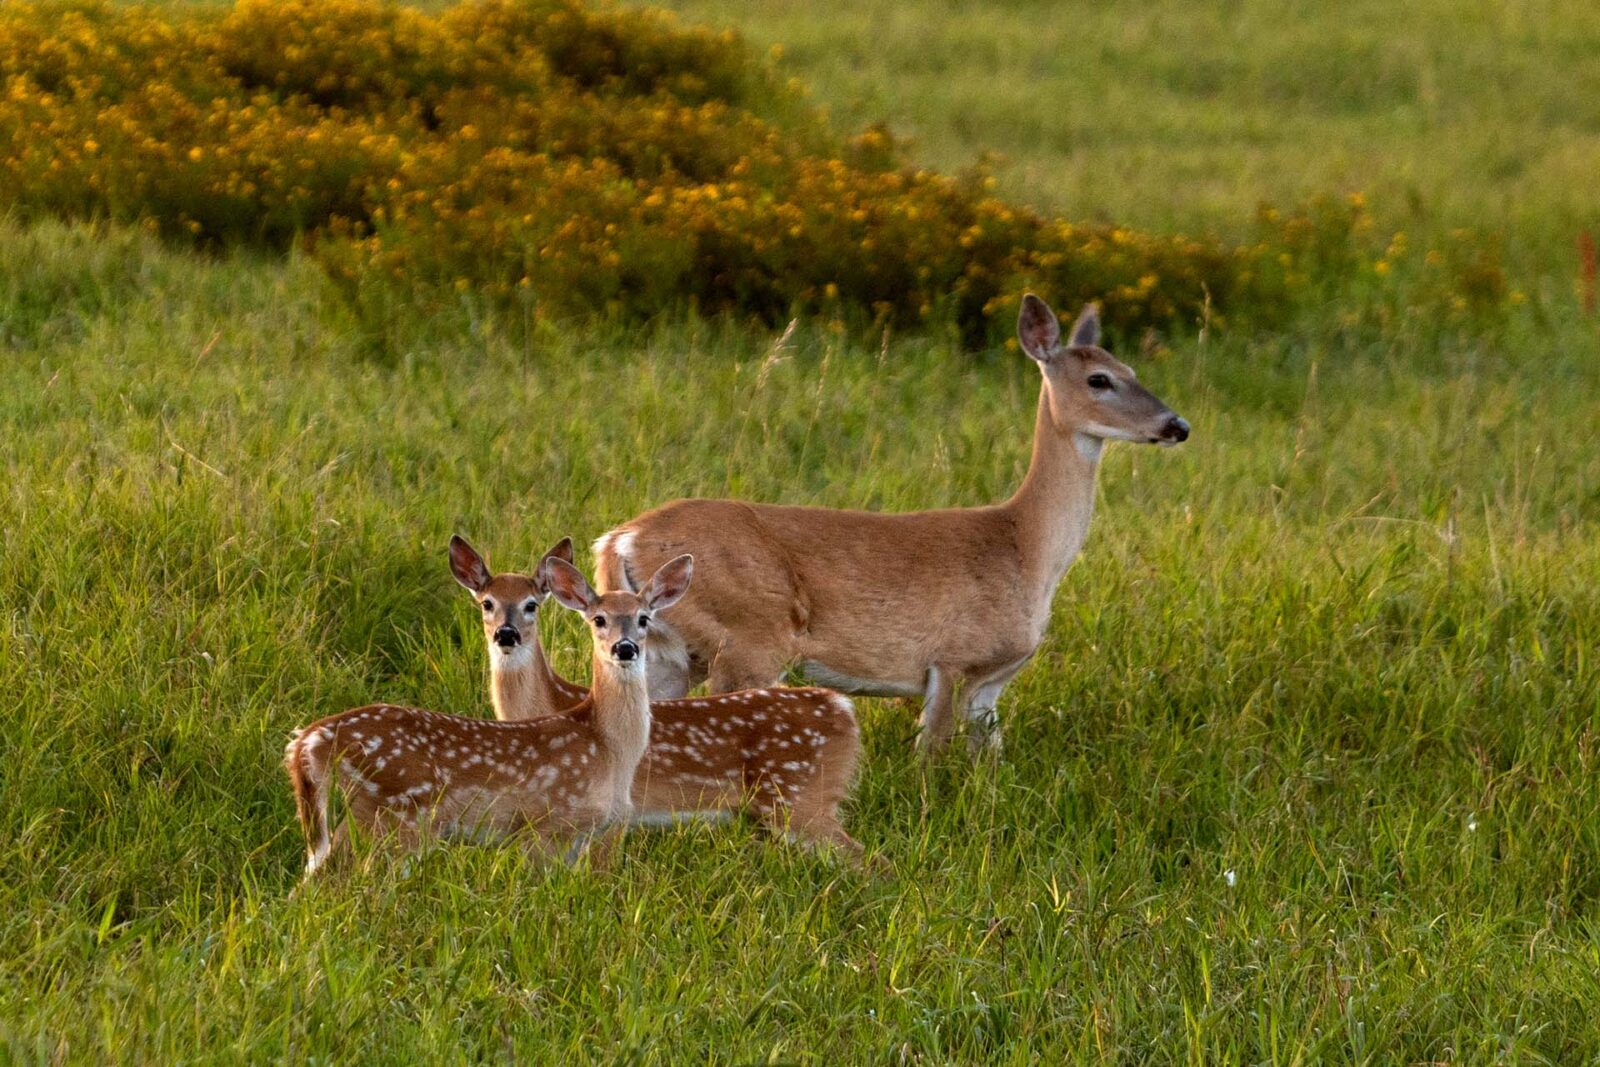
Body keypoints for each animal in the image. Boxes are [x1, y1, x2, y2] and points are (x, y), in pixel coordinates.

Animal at [280, 556, 688, 870]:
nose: (625, 648)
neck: (607, 748)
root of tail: (310, 740)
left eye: (644, 619)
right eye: (598, 619)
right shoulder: (545, 825)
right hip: (395, 810)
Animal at [451, 534, 870, 857]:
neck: (555, 703)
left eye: (531, 605)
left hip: (799, 794)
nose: (506, 635)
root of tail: (842, 708)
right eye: (487, 603)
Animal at [592, 295, 1190, 755]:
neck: (1026, 547)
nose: (1177, 425)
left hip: (665, 651)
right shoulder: (951, 658)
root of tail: (620, 539)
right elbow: (931, 754)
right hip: (749, 637)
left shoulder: (991, 686)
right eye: (1099, 379)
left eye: (1134, 371)